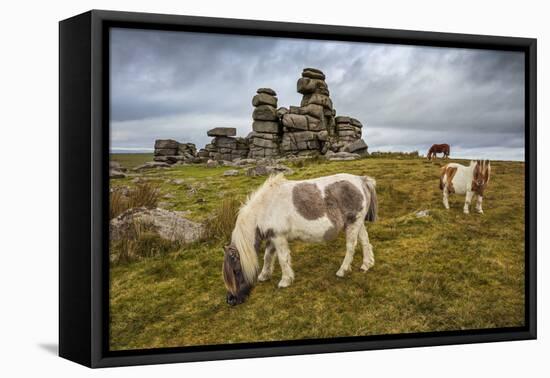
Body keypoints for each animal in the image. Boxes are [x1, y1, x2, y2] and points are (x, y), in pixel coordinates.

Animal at [222, 173, 378, 306]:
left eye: (236, 271)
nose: (231, 300)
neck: (265, 207)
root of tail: (361, 180)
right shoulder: (272, 237)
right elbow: (268, 256)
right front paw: (264, 275)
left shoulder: (279, 237)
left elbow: (282, 259)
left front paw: (285, 280)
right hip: (358, 223)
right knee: (365, 242)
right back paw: (366, 264)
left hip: (353, 223)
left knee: (351, 246)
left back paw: (342, 270)